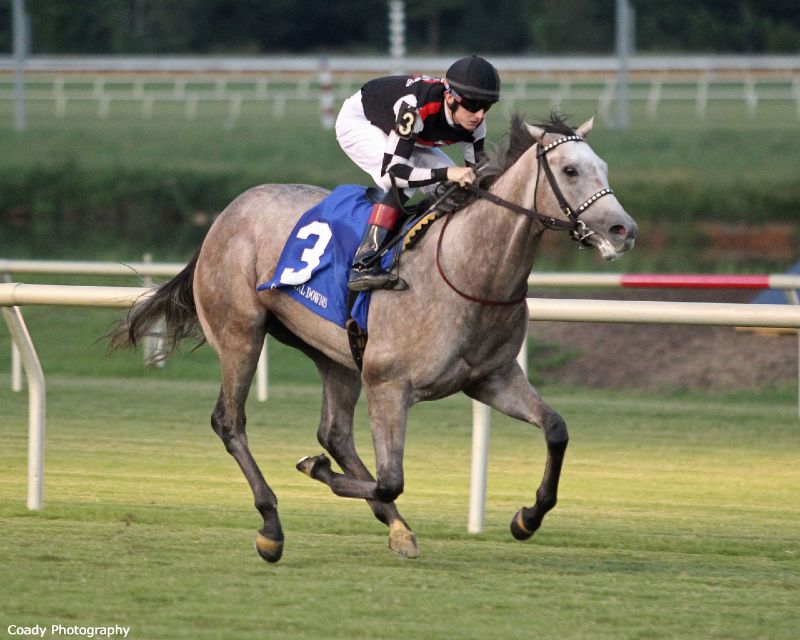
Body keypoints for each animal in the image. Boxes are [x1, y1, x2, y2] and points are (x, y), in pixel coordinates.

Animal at [111, 112, 636, 564]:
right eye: (570, 169)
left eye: (604, 167)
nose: (623, 230)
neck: (468, 271)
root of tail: (226, 215)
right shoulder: (390, 386)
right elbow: (390, 480)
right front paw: (315, 469)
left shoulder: (492, 379)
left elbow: (556, 429)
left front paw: (527, 518)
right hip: (241, 333)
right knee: (230, 422)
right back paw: (272, 527)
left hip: (335, 353)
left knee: (334, 433)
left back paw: (396, 527)